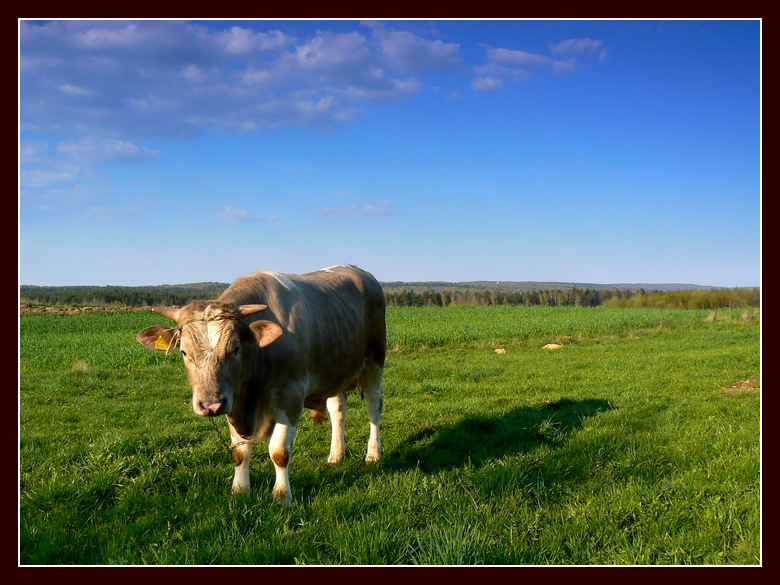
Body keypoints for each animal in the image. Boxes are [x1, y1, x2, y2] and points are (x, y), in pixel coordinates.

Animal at [139, 264, 388, 502]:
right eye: (183, 352)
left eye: (236, 348)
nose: (210, 405)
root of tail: (362, 273)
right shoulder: (234, 401)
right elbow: (240, 452)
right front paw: (240, 490)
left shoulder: (290, 397)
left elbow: (279, 451)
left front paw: (281, 496)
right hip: (336, 369)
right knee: (337, 411)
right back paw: (336, 456)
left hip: (375, 360)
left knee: (373, 406)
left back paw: (373, 453)